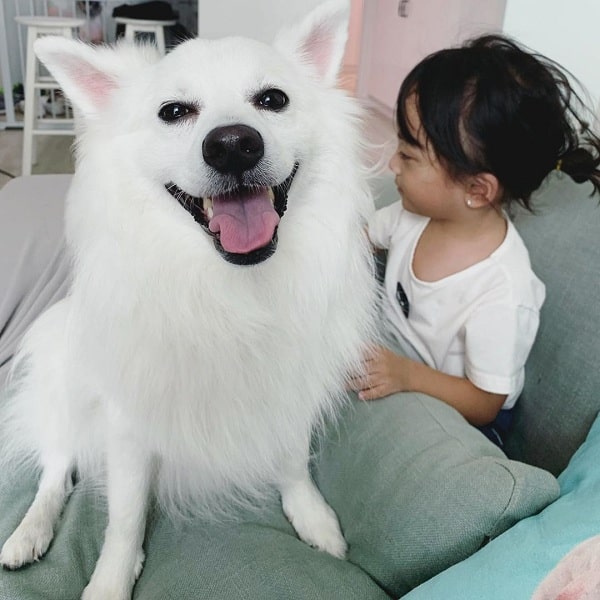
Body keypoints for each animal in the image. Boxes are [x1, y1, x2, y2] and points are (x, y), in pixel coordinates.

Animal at [0, 2, 376, 596]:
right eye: (173, 112)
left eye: (273, 100)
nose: (233, 143)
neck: (231, 289)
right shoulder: (128, 424)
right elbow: (125, 516)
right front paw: (110, 579)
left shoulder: (289, 393)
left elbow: (293, 462)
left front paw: (313, 518)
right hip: (66, 394)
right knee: (56, 467)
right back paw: (29, 533)